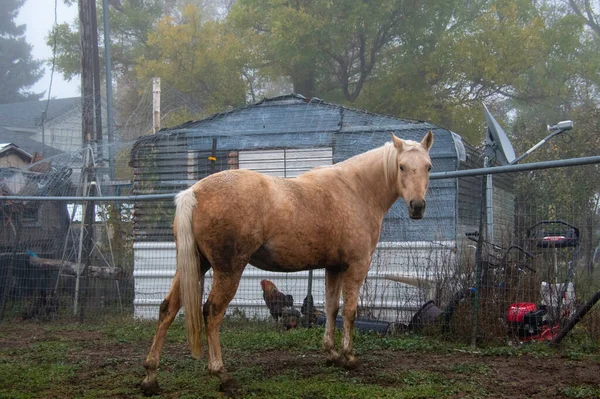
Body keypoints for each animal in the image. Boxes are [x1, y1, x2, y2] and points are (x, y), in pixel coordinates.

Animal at [141, 132, 432, 396]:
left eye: (428, 166)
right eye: (402, 166)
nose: (417, 207)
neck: (355, 190)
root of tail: (194, 192)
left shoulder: (333, 267)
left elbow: (332, 309)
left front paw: (331, 354)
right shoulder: (357, 265)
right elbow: (350, 312)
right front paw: (349, 357)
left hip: (194, 266)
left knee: (167, 309)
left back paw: (150, 378)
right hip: (228, 271)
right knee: (212, 313)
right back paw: (222, 375)